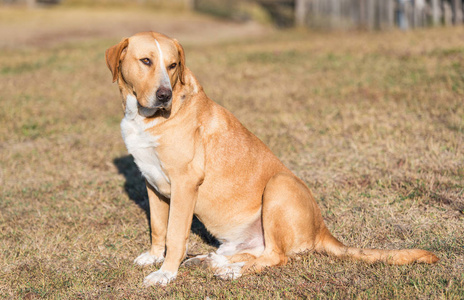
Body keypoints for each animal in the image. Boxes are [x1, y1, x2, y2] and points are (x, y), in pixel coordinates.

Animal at [105, 32, 438, 286]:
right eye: (146, 61)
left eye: (173, 65)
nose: (164, 96)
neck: (146, 118)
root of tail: (321, 230)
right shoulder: (152, 182)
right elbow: (158, 227)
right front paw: (153, 257)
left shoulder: (185, 184)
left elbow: (175, 234)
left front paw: (165, 273)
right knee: (250, 253)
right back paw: (212, 262)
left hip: (279, 186)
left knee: (277, 257)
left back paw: (229, 271)